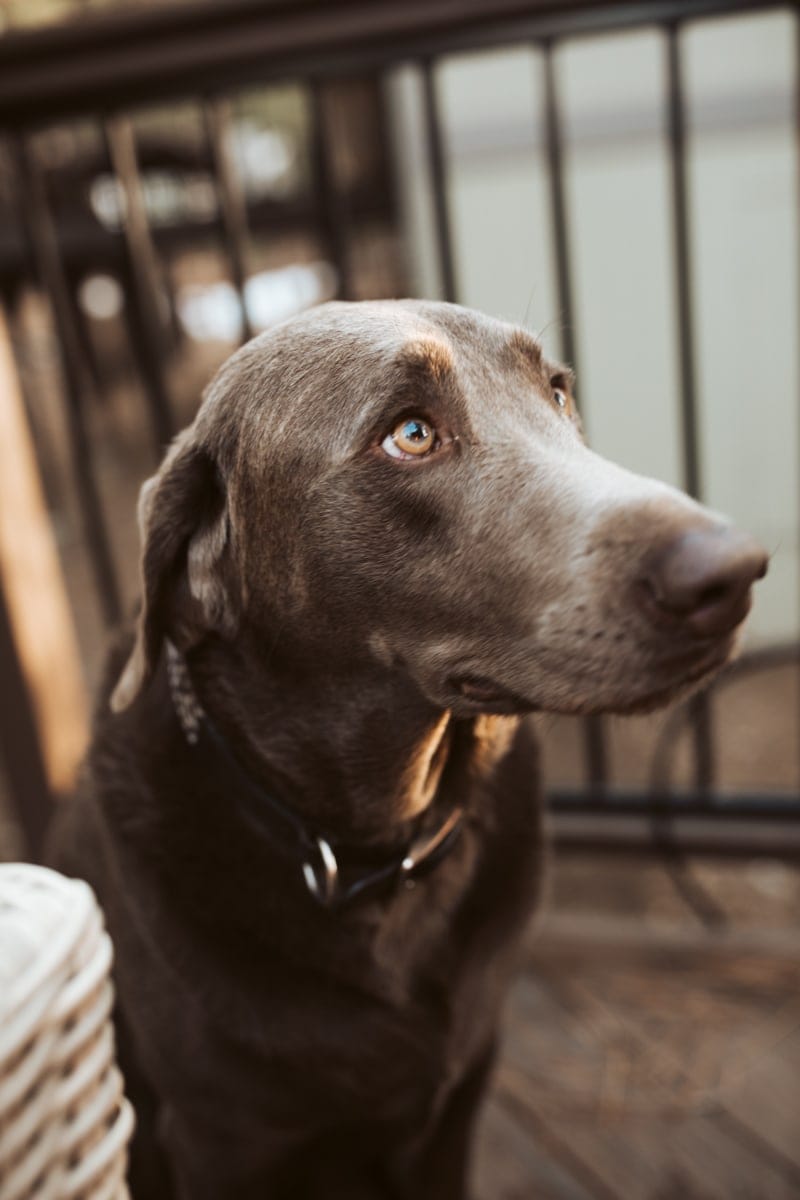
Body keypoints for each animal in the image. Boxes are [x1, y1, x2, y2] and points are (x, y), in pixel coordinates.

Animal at [53, 302, 767, 1200]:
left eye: (557, 391)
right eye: (412, 434)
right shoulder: (221, 1141)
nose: (735, 573)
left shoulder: (456, 1102)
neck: (375, 850)